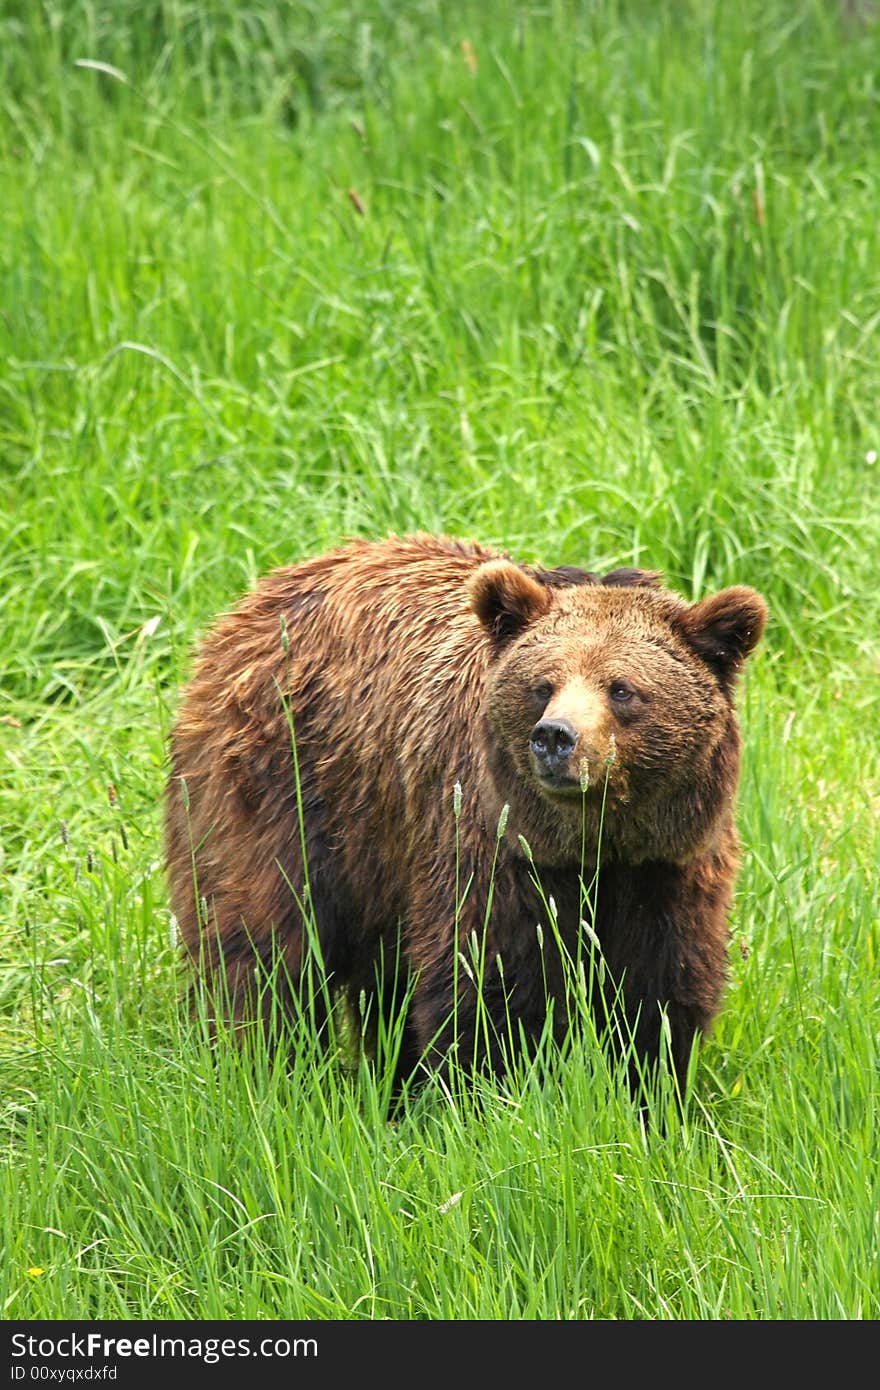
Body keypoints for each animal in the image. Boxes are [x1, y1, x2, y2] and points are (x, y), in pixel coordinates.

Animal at [163, 530, 761, 1084]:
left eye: (621, 688)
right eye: (542, 685)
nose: (555, 738)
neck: (591, 841)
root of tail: (253, 602)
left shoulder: (669, 863)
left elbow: (656, 992)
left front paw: (651, 1094)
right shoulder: (492, 846)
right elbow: (488, 981)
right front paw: (490, 1089)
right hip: (289, 787)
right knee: (262, 945)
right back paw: (263, 1063)